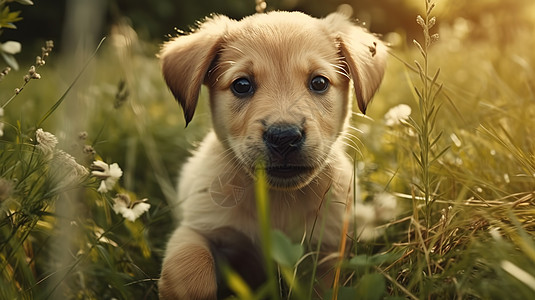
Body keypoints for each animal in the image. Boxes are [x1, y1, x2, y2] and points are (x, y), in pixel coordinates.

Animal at [157, 10, 388, 298]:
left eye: (319, 82)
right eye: (242, 84)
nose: (284, 137)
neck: (279, 202)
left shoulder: (328, 251)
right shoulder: (197, 228)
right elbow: (191, 268)